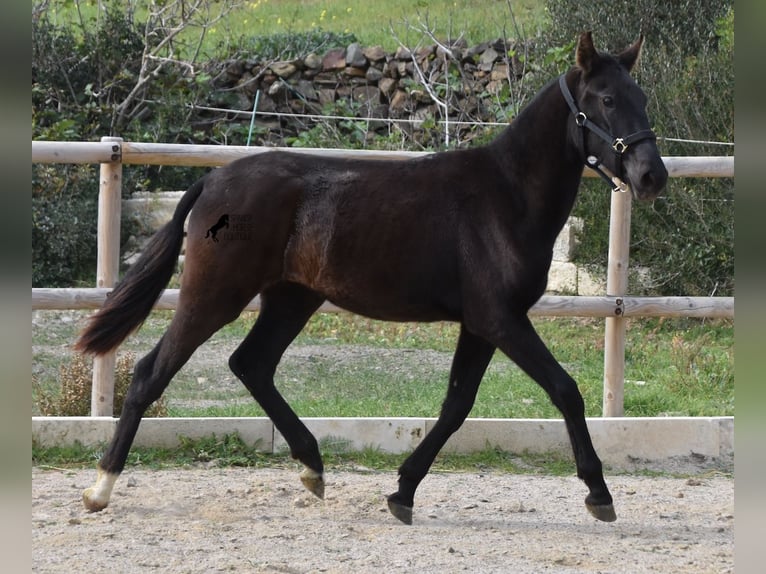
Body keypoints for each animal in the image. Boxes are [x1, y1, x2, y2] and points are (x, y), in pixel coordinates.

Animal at [75, 32, 668, 528]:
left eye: (641, 96)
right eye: (607, 99)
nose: (652, 176)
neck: (506, 197)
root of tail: (211, 183)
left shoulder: (480, 325)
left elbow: (456, 406)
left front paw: (402, 492)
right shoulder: (501, 319)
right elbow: (565, 390)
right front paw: (599, 495)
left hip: (291, 299)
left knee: (251, 364)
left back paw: (312, 467)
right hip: (215, 295)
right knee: (151, 373)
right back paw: (100, 488)